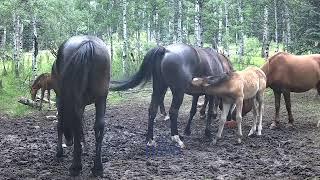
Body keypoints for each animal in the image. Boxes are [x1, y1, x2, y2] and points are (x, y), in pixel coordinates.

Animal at [52, 35, 110, 176]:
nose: (69, 141)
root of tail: (88, 44)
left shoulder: (60, 99)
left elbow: (59, 123)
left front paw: (59, 152)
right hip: (101, 98)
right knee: (99, 125)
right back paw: (97, 167)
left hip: (76, 100)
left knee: (76, 123)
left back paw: (75, 166)